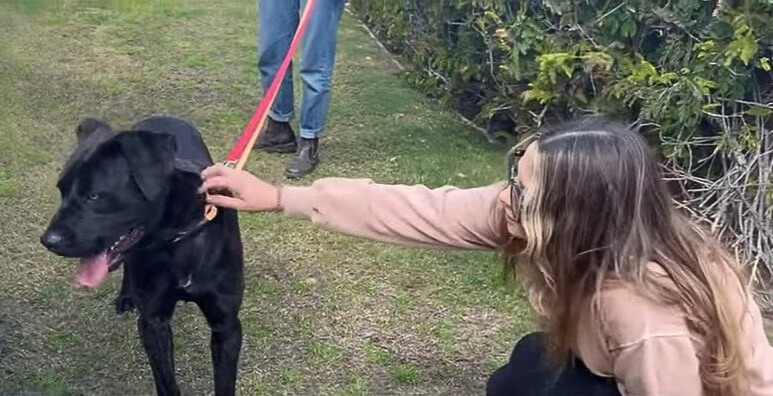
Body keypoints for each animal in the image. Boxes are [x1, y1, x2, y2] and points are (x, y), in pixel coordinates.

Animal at [40, 116, 244, 396]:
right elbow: (166, 382)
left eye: (93, 195)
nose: (48, 241)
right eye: (61, 190)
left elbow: (224, 383)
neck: (178, 239)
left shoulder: (226, 325)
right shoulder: (153, 322)